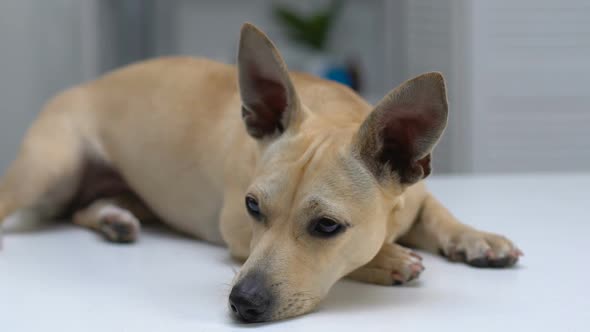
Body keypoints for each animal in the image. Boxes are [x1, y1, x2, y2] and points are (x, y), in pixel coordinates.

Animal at [0, 22, 524, 322]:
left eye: (327, 226)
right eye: (252, 206)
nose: (242, 303)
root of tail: (79, 86)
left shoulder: (416, 196)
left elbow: (439, 214)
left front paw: (476, 237)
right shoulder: (233, 230)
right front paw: (388, 258)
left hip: (123, 193)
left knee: (83, 209)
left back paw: (113, 220)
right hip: (51, 170)